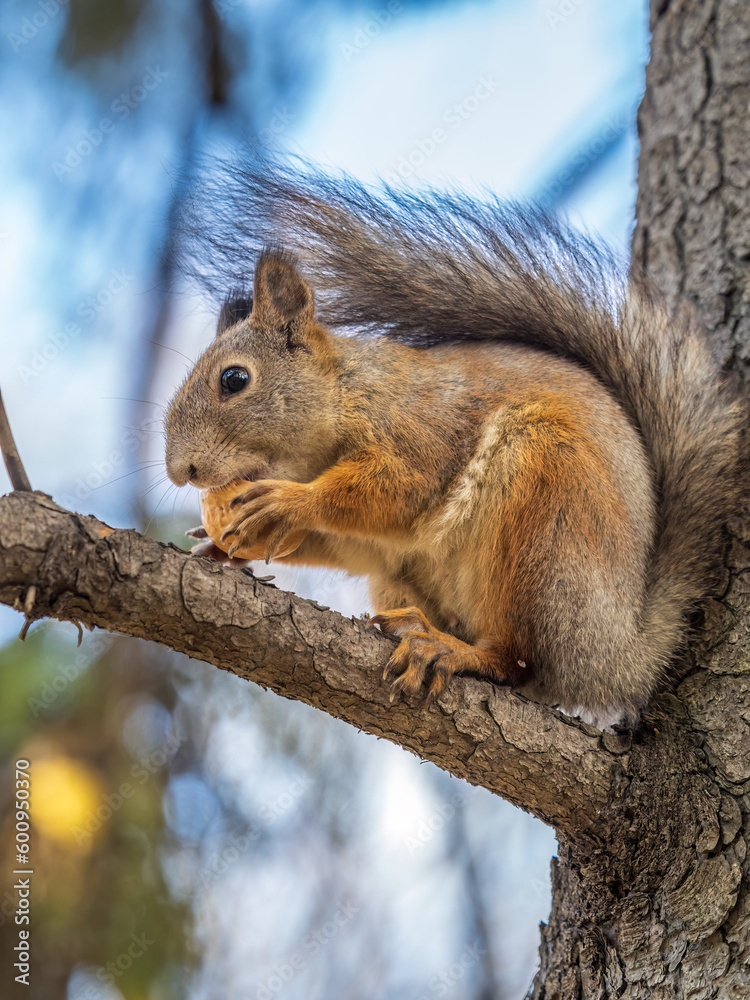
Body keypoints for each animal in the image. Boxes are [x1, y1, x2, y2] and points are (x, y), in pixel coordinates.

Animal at [164, 157, 743, 730]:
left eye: (234, 379)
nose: (178, 470)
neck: (342, 397)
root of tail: (618, 655)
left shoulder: (420, 427)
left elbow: (399, 489)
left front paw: (290, 501)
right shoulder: (364, 544)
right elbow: (343, 543)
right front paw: (221, 544)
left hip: (544, 512)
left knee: (519, 660)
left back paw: (450, 651)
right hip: (406, 575)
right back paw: (413, 630)